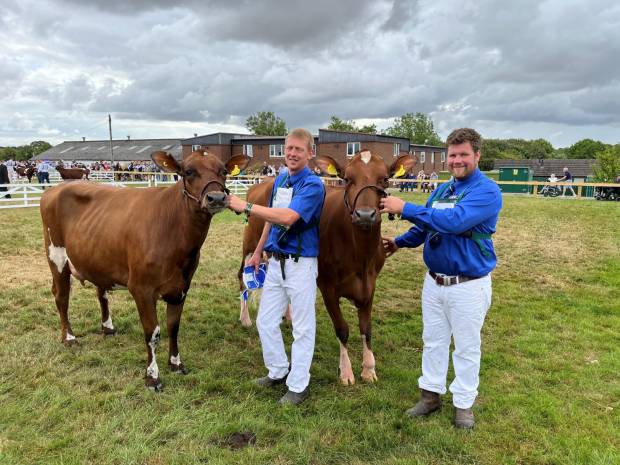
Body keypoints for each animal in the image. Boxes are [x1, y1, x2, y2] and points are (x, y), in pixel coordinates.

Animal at [40, 151, 249, 388]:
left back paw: (108, 328)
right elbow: (152, 333)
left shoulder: (181, 287)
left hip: (97, 258)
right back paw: (69, 338)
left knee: (101, 294)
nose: (216, 198)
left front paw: (176, 363)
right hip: (56, 257)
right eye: (188, 172)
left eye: (223, 171)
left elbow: (173, 327)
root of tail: (56, 188)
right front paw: (152, 376)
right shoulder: (141, 288)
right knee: (61, 297)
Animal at [240, 150, 414, 382]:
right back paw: (245, 319)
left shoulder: (370, 285)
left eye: (384, 178)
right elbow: (342, 329)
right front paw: (346, 371)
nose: (365, 215)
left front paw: (369, 368)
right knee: (241, 280)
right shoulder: (328, 287)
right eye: (347, 179)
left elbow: (366, 328)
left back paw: (288, 316)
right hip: (249, 244)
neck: (361, 257)